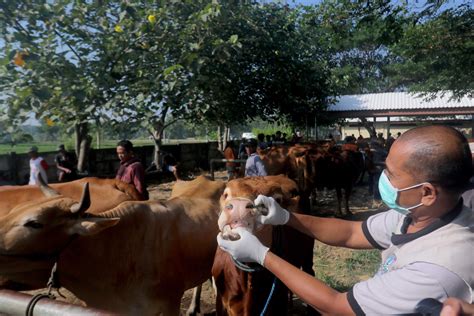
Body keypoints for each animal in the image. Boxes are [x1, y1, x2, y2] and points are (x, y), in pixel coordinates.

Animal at [211, 175, 314, 316]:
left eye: (277, 199)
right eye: (226, 194)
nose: (238, 205)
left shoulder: (278, 302)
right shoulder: (220, 302)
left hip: (308, 254)